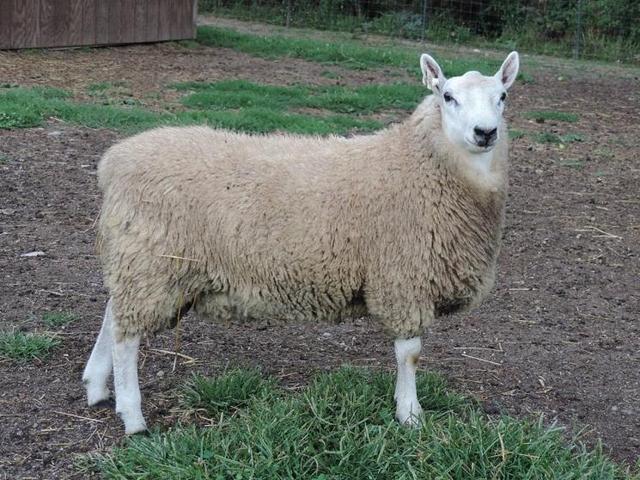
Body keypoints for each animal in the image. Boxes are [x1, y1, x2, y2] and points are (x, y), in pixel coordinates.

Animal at [82, 51, 520, 434]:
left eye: (502, 96)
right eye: (448, 96)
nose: (485, 133)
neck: (418, 163)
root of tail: (114, 162)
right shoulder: (403, 278)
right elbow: (409, 354)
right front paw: (410, 415)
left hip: (141, 261)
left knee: (112, 314)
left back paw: (96, 386)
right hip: (151, 261)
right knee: (125, 337)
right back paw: (133, 417)